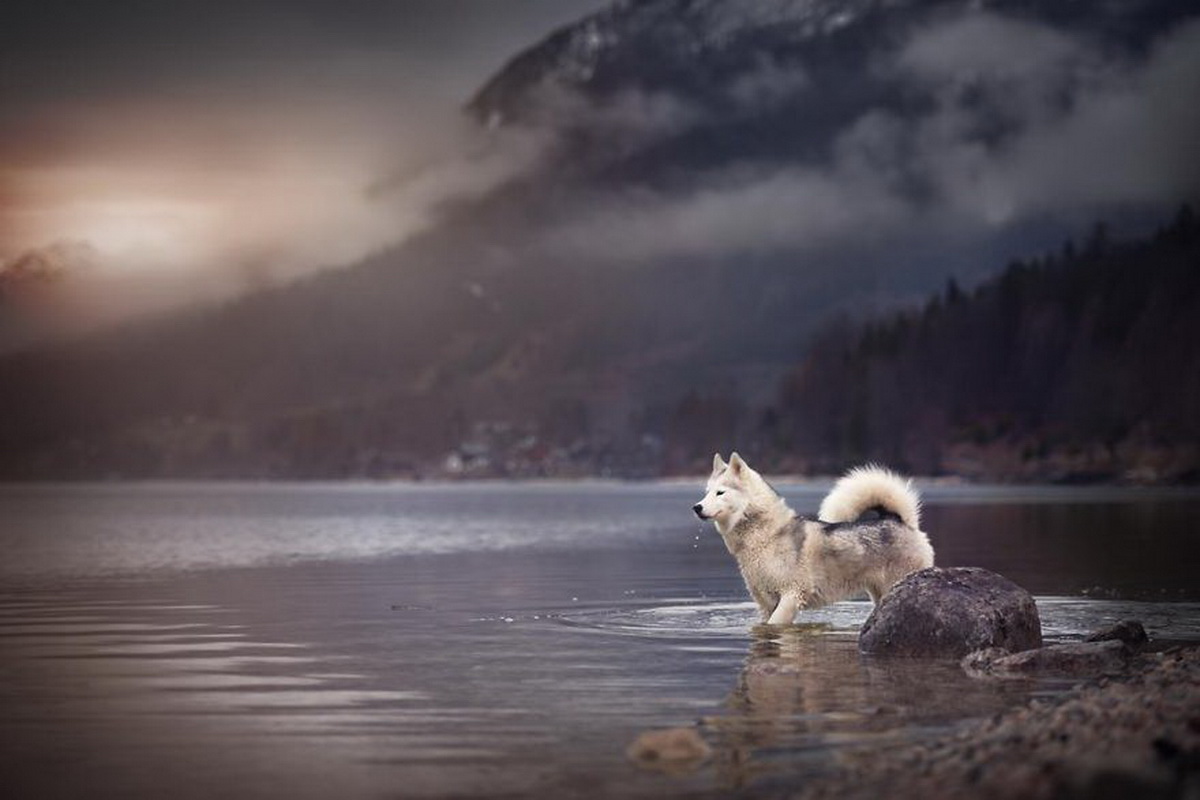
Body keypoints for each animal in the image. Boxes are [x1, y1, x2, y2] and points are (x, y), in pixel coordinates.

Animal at [691, 453, 931, 628]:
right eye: (707, 492)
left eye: (720, 493)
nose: (696, 507)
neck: (764, 536)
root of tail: (899, 520)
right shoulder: (766, 602)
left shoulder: (791, 595)